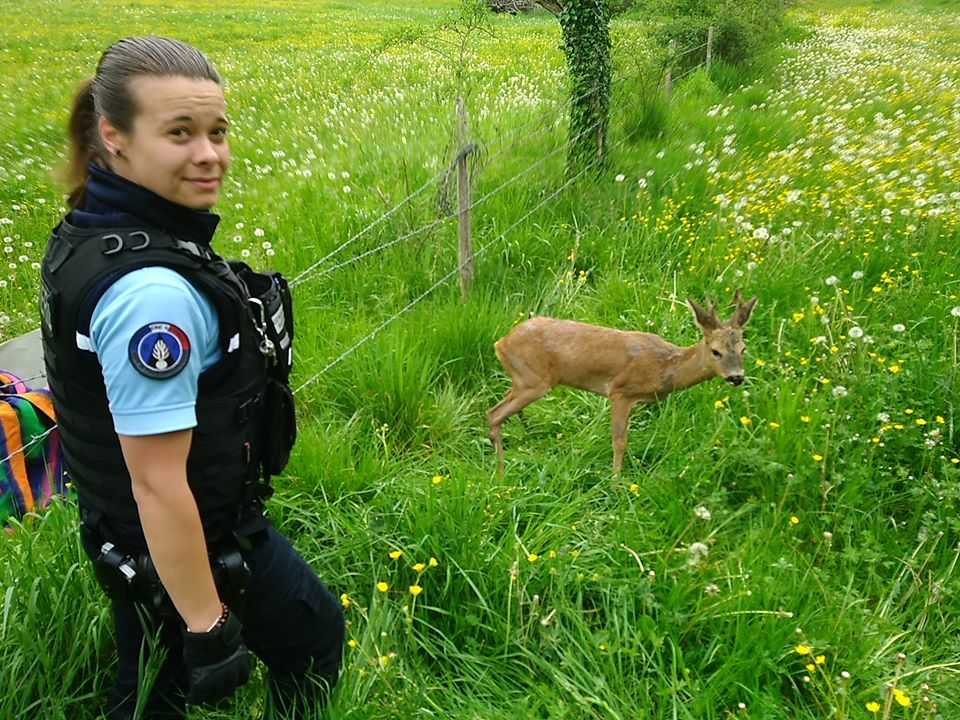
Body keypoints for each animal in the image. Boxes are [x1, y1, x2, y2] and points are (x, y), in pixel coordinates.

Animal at [488, 290, 756, 476]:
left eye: (744, 348)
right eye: (715, 351)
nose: (736, 377)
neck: (665, 367)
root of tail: (501, 343)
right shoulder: (620, 392)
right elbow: (619, 442)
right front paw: (616, 483)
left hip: (523, 380)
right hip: (533, 381)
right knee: (493, 414)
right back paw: (500, 472)